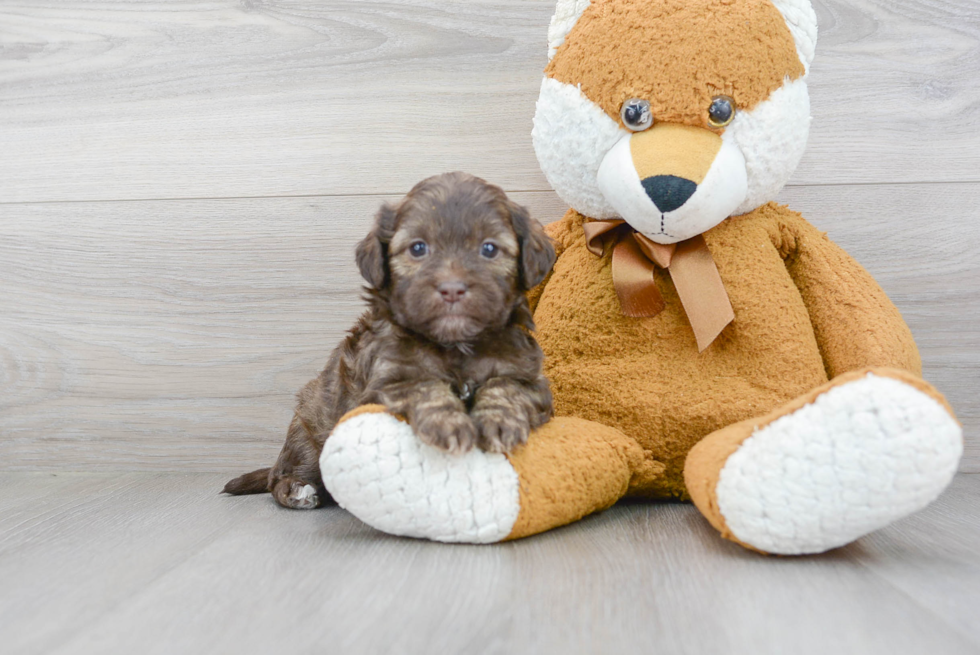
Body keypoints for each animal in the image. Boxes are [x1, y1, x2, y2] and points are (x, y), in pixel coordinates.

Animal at [225, 172, 556, 510]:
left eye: (489, 249)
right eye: (418, 248)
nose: (452, 289)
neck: (455, 344)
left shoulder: (528, 377)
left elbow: (507, 387)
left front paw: (499, 423)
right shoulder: (384, 381)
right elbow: (422, 386)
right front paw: (448, 423)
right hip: (308, 430)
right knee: (280, 476)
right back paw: (297, 489)